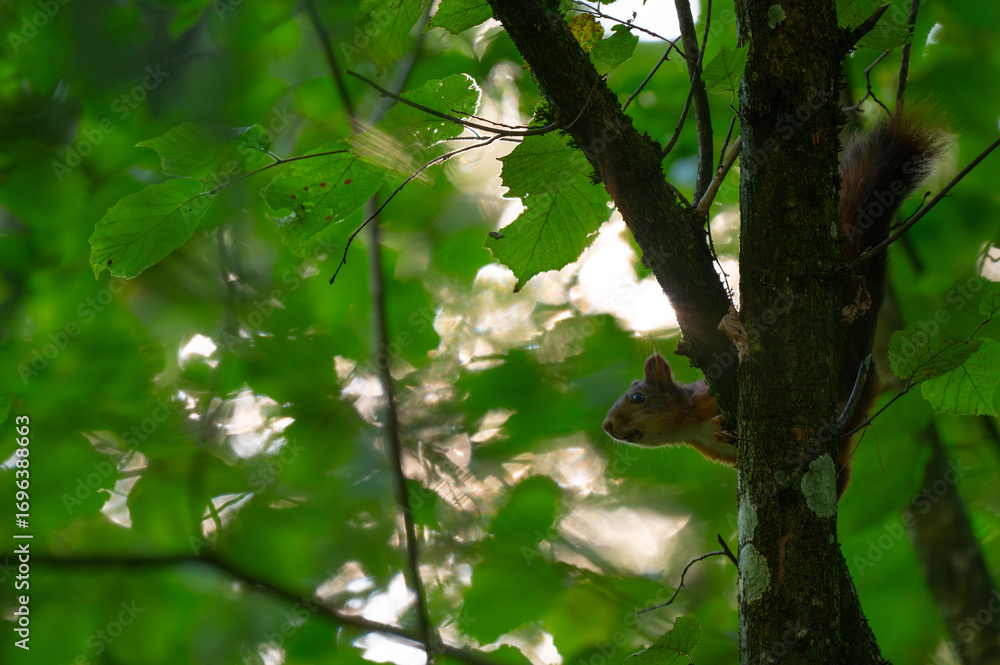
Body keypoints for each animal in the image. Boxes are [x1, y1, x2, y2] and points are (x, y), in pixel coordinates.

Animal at [603, 110, 946, 500]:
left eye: (638, 398)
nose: (608, 426)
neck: (687, 426)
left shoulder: (705, 398)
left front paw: (726, 427)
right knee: (842, 468)